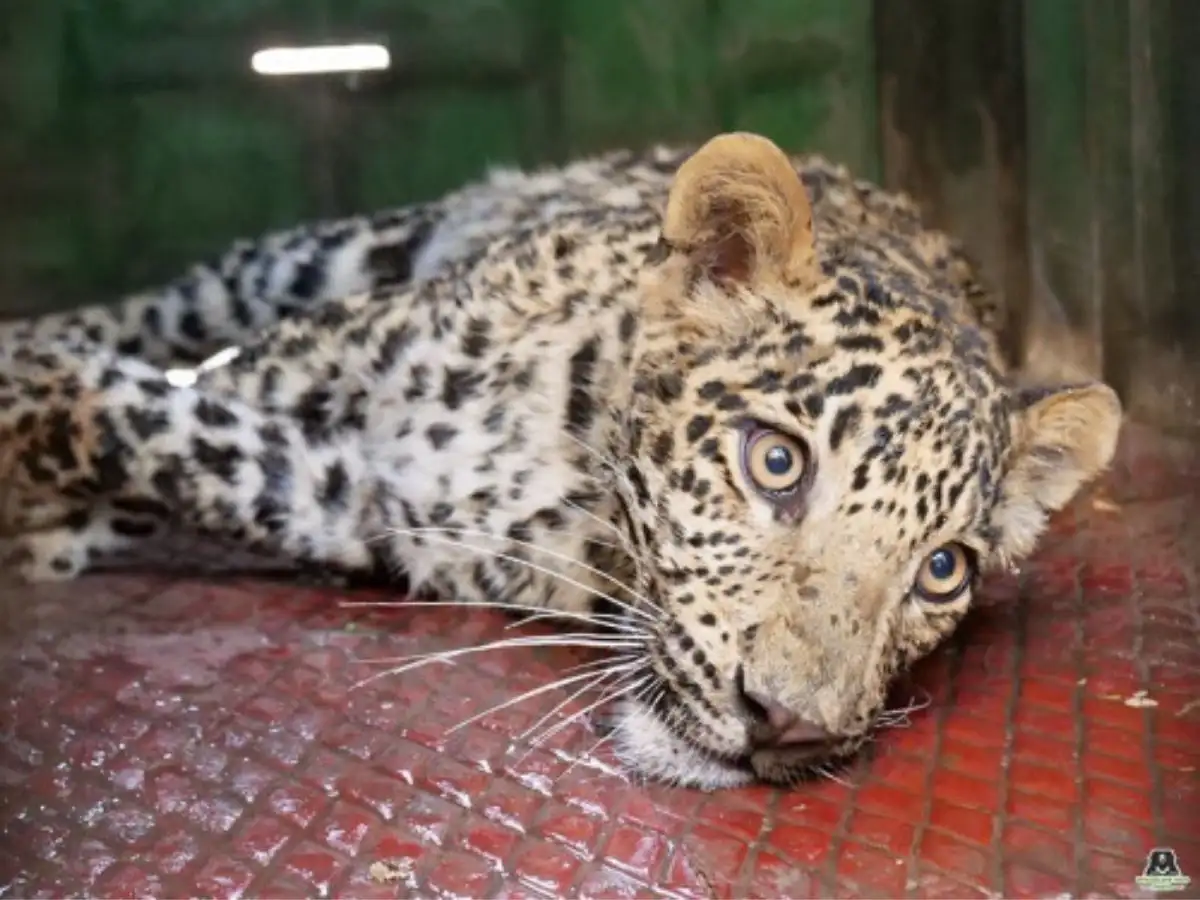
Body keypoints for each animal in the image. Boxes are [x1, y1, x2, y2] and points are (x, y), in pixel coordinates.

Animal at [0, 132, 1122, 789]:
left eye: (943, 571)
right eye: (775, 463)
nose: (788, 725)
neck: (572, 501)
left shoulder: (348, 497)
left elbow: (172, 440)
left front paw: (59, 522)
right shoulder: (317, 363)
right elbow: (129, 396)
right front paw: (27, 400)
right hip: (307, 261)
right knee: (157, 311)